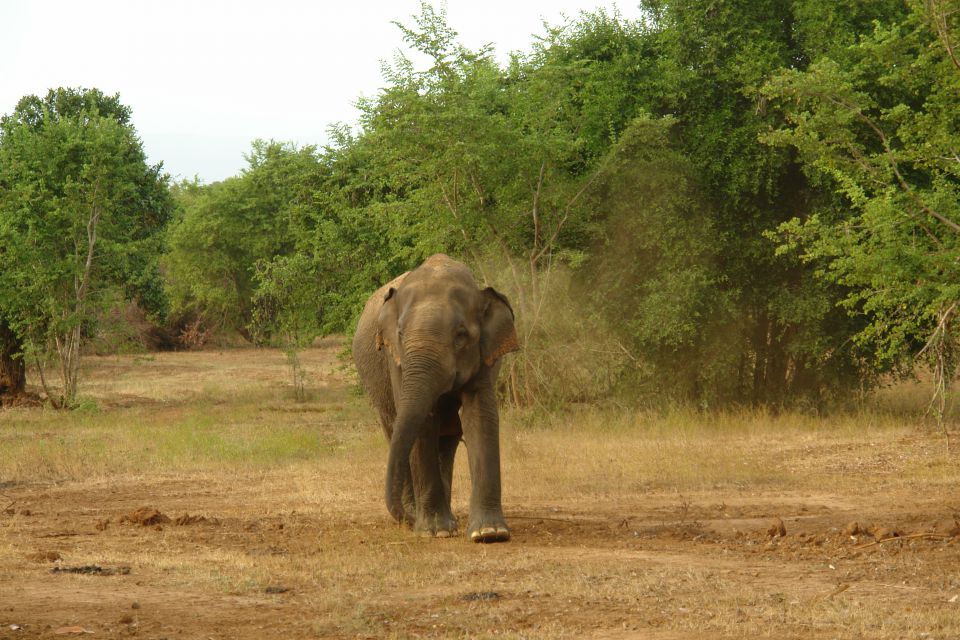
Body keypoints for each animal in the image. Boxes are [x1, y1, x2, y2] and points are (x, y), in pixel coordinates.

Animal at [352, 254, 516, 540]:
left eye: (461, 335)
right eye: (400, 333)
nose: (408, 518)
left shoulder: (486, 355)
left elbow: (479, 414)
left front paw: (489, 533)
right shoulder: (395, 358)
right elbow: (425, 420)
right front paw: (434, 532)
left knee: (447, 441)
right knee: (396, 430)